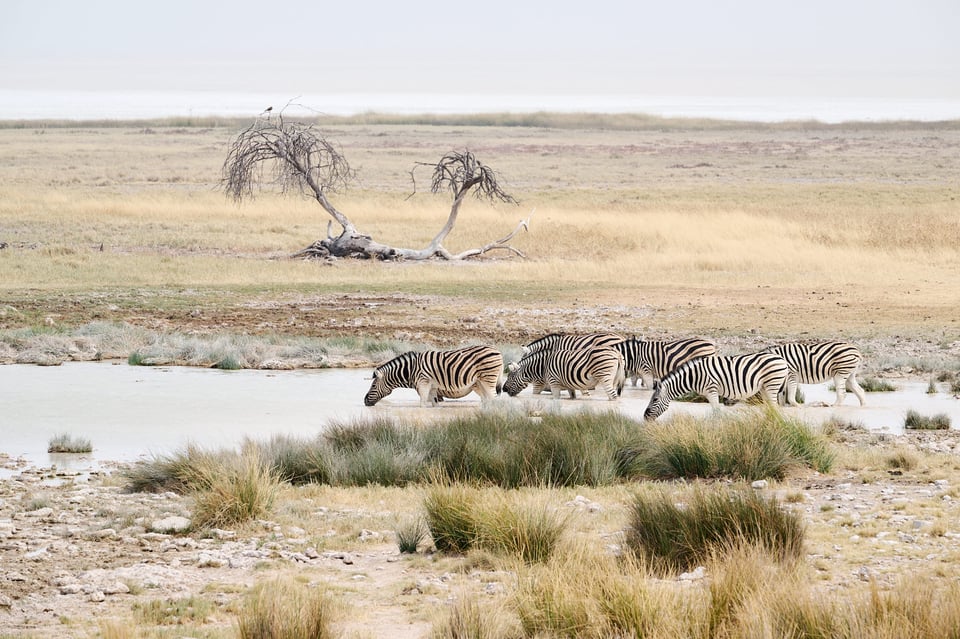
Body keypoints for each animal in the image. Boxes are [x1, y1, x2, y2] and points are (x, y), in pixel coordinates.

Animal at [364, 348, 506, 408]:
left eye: (373, 385)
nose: (365, 401)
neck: (411, 370)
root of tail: (497, 351)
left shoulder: (423, 384)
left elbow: (422, 404)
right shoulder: (432, 388)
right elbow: (435, 405)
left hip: (488, 379)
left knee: (494, 398)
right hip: (480, 382)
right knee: (487, 399)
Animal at [640, 352, 792, 422]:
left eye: (654, 400)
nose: (645, 417)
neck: (693, 377)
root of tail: (781, 359)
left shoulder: (711, 390)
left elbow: (716, 411)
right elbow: (716, 411)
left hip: (772, 384)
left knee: (774, 407)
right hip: (764, 387)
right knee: (770, 407)